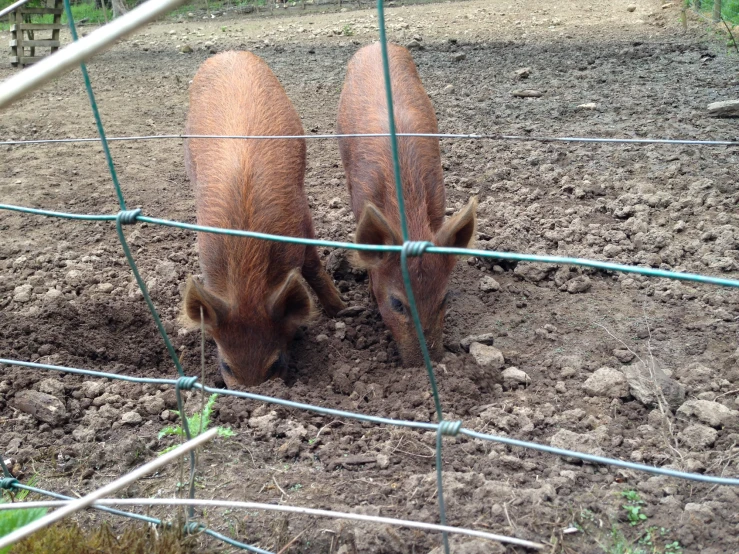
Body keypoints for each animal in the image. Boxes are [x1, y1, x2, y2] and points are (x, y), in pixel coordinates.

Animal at [185, 52, 346, 388]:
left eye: (277, 362)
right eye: (226, 365)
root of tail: (230, 53)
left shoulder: (301, 218)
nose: (253, 395)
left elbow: (312, 266)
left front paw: (343, 309)